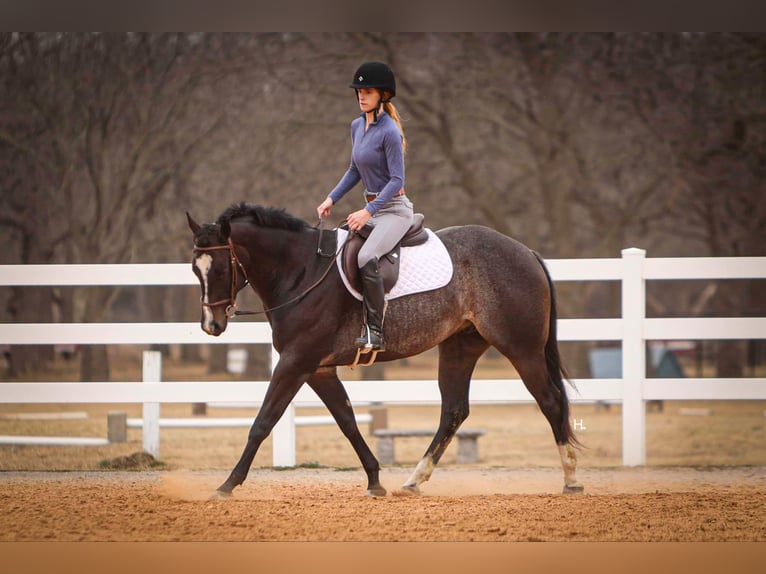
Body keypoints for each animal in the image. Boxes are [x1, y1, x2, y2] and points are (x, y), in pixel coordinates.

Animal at [186, 202, 583, 497]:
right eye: (194, 268)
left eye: (220, 268)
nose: (211, 326)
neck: (302, 271)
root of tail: (525, 251)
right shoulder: (318, 369)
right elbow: (346, 421)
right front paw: (375, 480)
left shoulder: (296, 363)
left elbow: (263, 421)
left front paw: (227, 485)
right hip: (460, 347)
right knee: (454, 410)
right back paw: (414, 481)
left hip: (521, 349)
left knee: (550, 401)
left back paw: (571, 480)